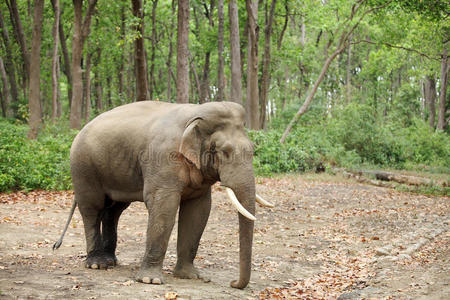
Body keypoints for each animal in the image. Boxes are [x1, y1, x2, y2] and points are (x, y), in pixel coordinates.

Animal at [51, 101, 270, 288]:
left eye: (252, 150)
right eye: (223, 151)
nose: (233, 283)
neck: (195, 113)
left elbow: (198, 212)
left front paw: (191, 276)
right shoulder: (162, 158)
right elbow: (164, 207)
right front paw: (150, 280)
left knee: (113, 211)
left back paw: (110, 261)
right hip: (83, 167)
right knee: (92, 208)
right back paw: (97, 264)